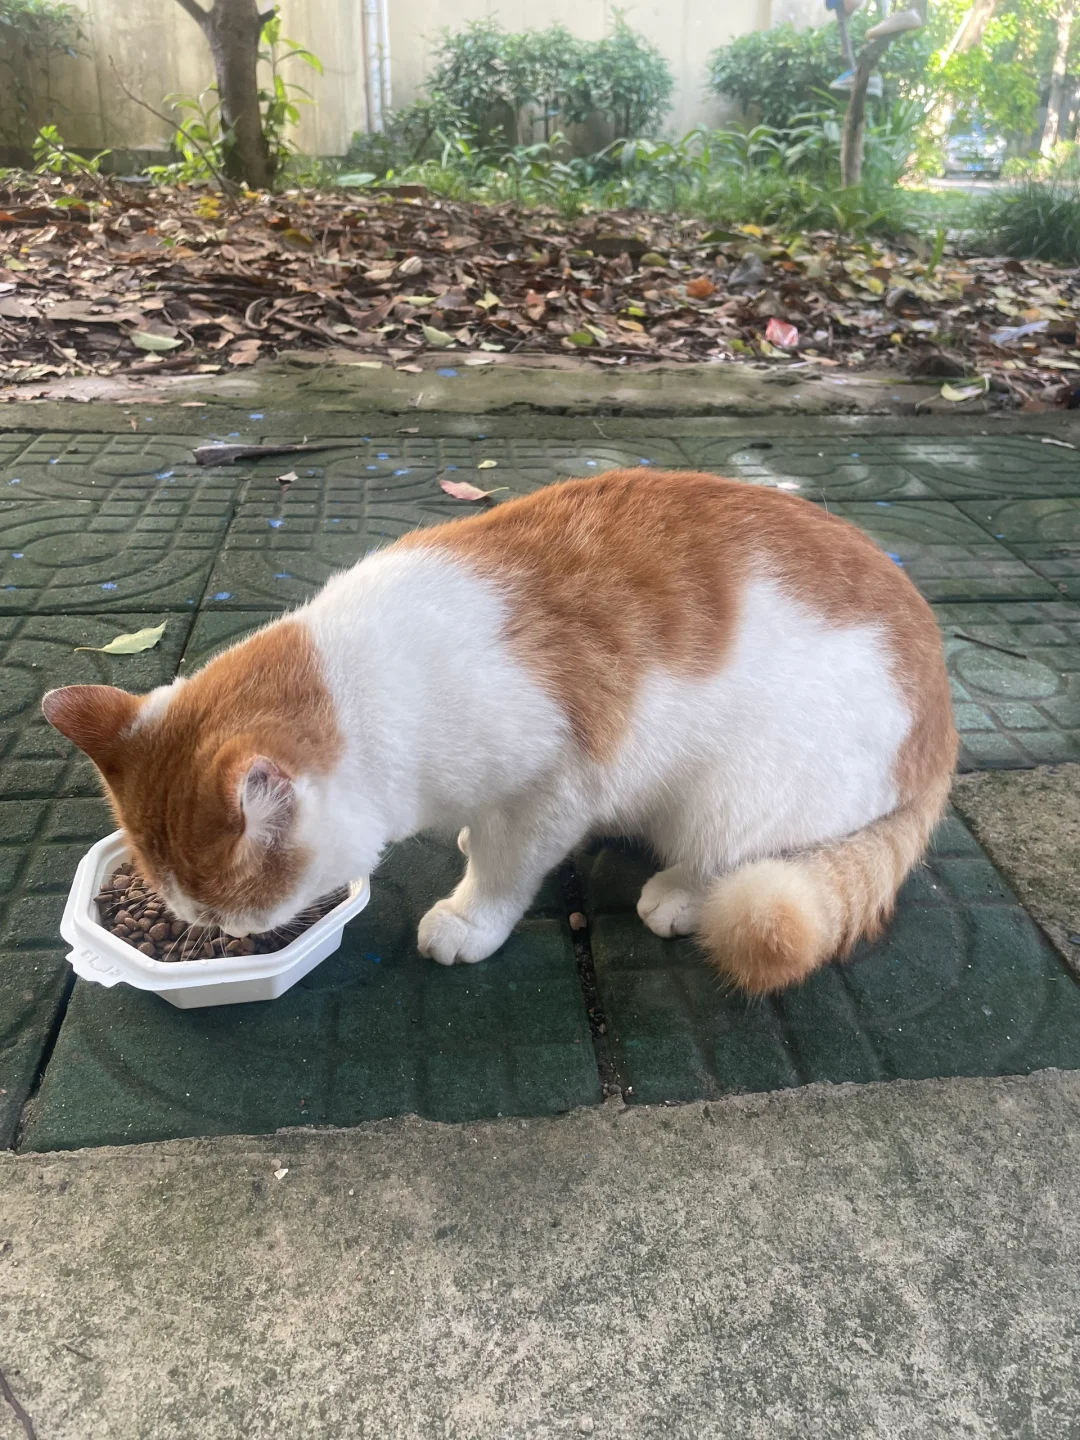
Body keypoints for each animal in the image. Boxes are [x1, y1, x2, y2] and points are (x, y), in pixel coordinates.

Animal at [42, 472, 956, 990]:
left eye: (222, 916)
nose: (220, 938)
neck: (373, 681)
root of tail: (944, 722)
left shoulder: (555, 783)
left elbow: (508, 865)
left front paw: (473, 915)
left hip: (734, 791)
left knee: (731, 854)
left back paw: (682, 893)